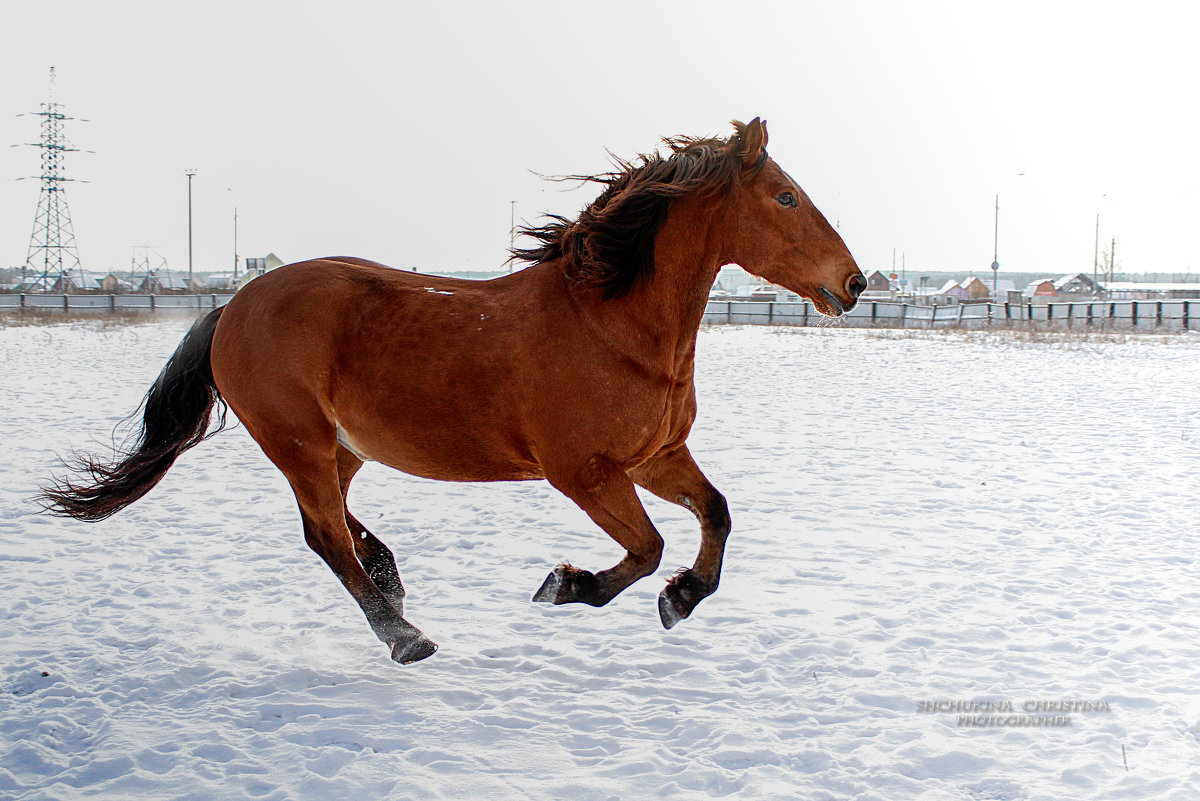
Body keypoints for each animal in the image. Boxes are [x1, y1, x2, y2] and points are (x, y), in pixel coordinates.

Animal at [39, 118, 864, 666]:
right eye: (786, 198)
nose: (854, 283)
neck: (611, 323)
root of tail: (233, 305)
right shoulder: (582, 471)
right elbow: (646, 546)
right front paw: (567, 584)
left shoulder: (656, 456)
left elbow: (716, 514)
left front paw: (682, 597)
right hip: (296, 439)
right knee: (325, 534)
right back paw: (405, 634)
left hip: (342, 447)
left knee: (333, 524)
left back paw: (392, 581)